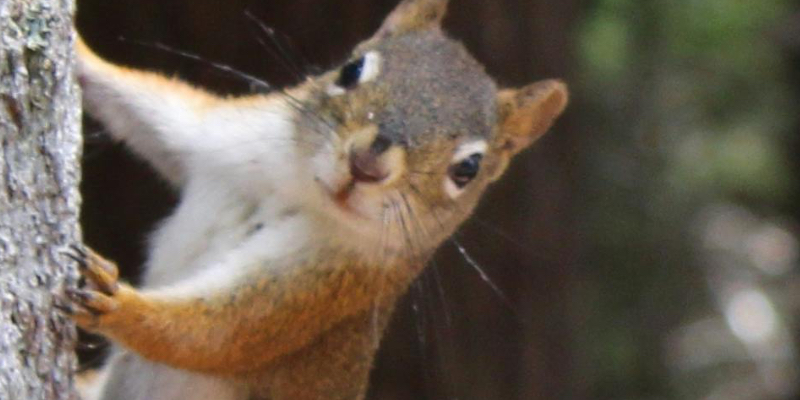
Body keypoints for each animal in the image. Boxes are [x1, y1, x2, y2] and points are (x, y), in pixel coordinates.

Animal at [66, 0, 568, 399]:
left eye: (468, 169)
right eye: (352, 69)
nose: (367, 163)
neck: (299, 188)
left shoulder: (329, 288)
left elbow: (222, 332)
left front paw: (113, 301)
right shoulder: (219, 137)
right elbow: (149, 112)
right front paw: (78, 53)